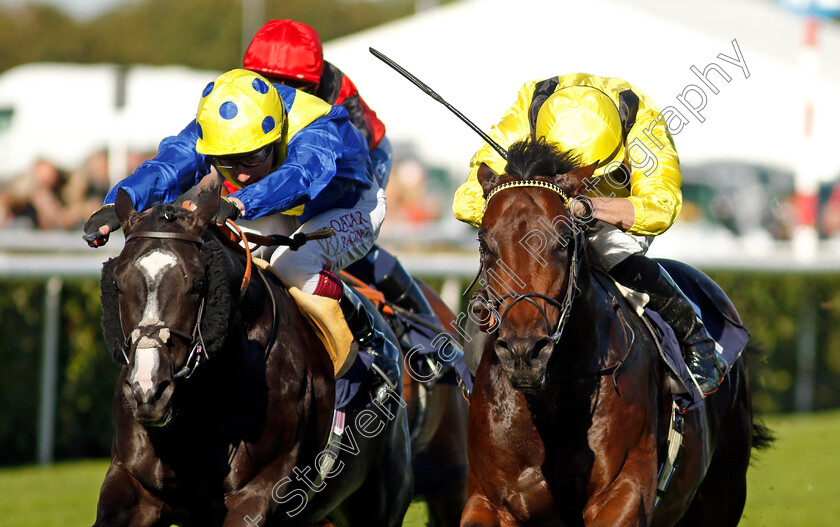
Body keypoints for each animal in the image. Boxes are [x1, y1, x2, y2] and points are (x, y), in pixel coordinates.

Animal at [92, 189, 414, 524]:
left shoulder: (258, 492)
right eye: (116, 283)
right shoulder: (133, 484)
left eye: (198, 283)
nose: (148, 390)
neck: (202, 403)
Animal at [462, 138, 772, 524]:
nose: (524, 352)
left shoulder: (623, 491)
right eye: (484, 243)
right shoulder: (488, 499)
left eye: (563, 240)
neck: (551, 399)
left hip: (722, 494)